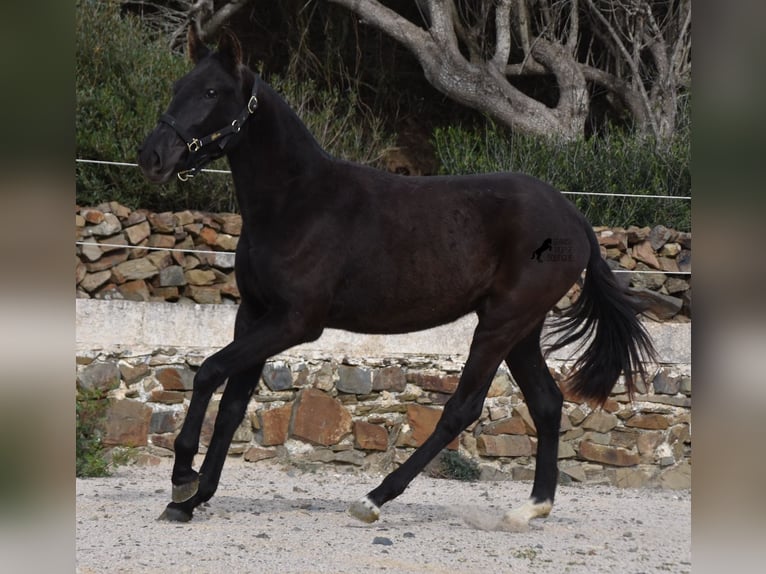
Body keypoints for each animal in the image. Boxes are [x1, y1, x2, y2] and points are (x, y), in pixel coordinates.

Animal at [138, 27, 656, 532]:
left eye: (211, 91)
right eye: (177, 86)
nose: (152, 156)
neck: (297, 204)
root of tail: (575, 218)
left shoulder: (294, 322)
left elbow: (208, 372)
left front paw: (182, 479)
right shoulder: (254, 314)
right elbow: (231, 405)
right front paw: (192, 499)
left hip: (502, 323)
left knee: (462, 408)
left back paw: (373, 499)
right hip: (521, 329)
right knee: (547, 403)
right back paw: (529, 509)